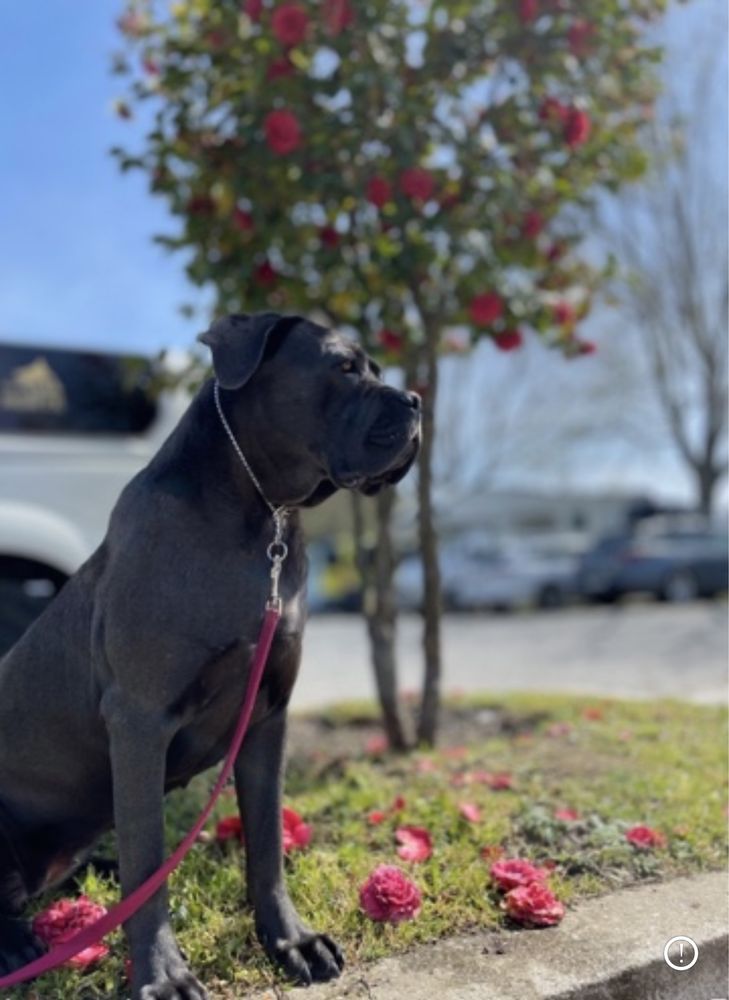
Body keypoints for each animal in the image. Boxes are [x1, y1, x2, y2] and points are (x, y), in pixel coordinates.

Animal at [0, 314, 420, 1000]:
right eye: (343, 367)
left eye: (379, 371)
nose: (415, 403)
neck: (261, 514)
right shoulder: (139, 721)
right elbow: (151, 868)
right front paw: (163, 977)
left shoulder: (268, 713)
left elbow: (267, 845)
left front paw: (292, 942)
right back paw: (15, 942)